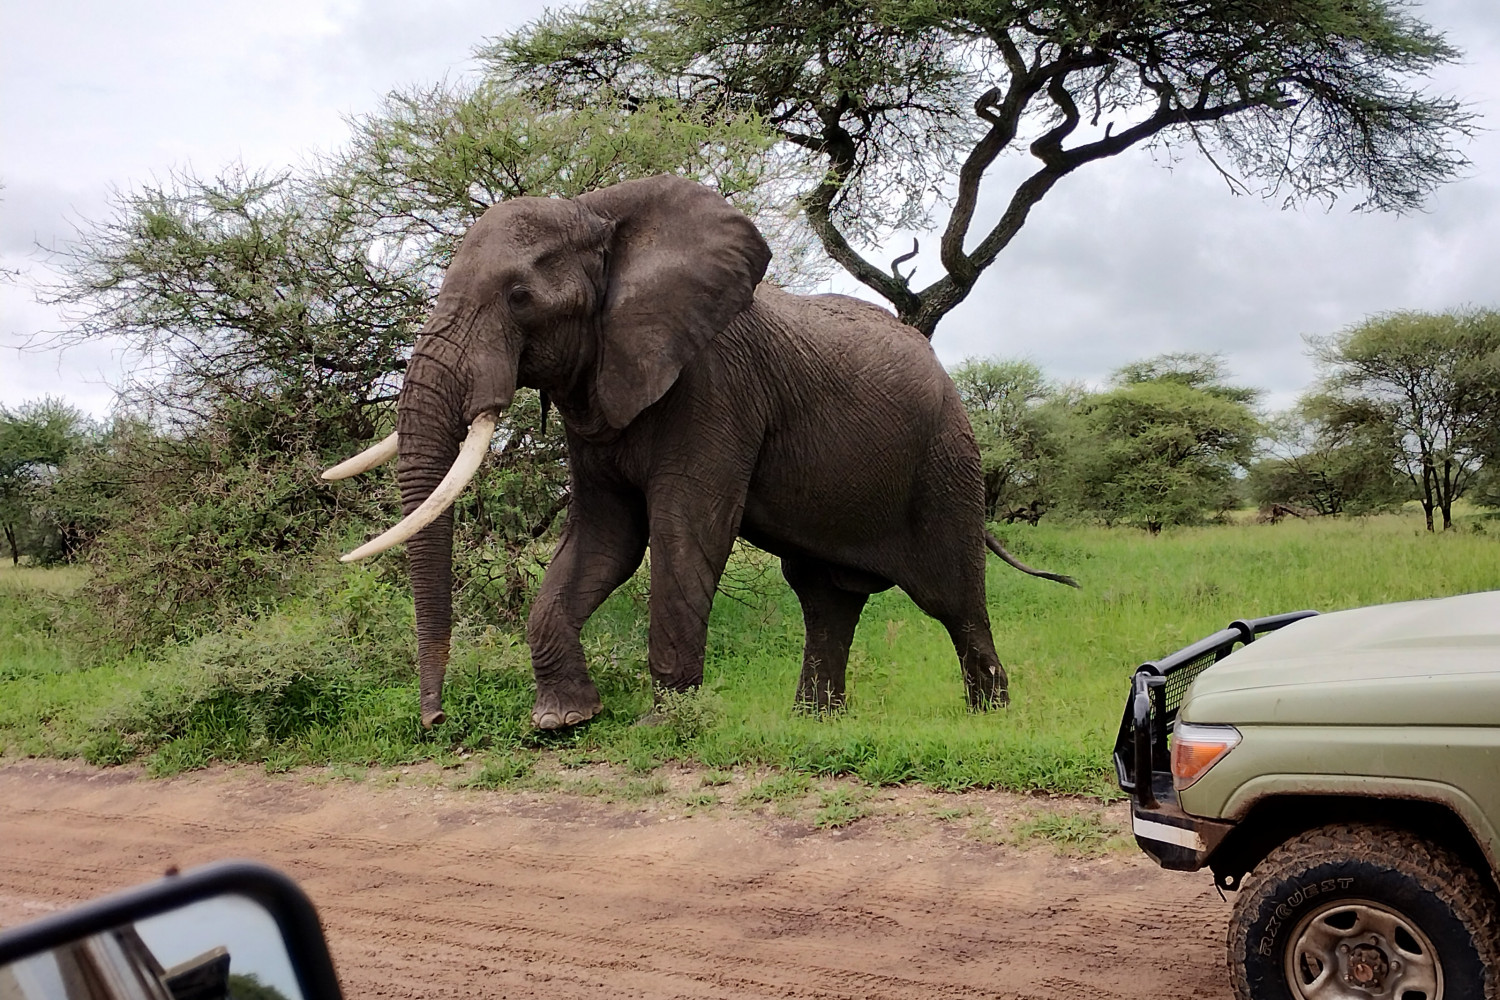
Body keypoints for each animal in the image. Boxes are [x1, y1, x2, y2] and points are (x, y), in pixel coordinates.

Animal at [323, 174, 1077, 730]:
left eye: (519, 297)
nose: (434, 722)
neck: (600, 214)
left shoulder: (716, 387)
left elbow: (684, 532)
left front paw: (664, 727)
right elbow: (604, 539)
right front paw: (564, 722)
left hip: (946, 460)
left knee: (955, 599)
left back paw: (989, 720)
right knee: (824, 599)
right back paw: (813, 725)